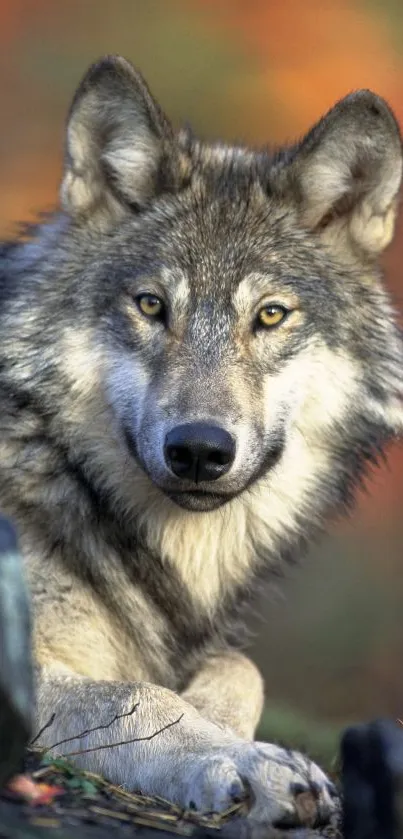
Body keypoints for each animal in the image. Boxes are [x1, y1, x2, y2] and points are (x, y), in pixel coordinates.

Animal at [0, 55, 402, 832]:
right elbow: (138, 695)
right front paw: (245, 763)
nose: (197, 450)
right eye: (152, 305)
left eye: (269, 315)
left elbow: (241, 669)